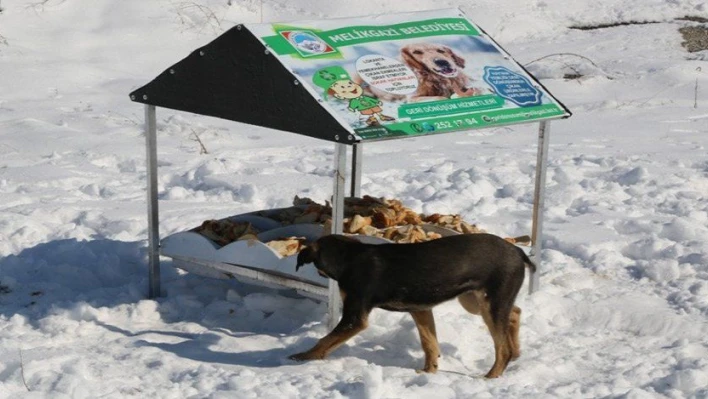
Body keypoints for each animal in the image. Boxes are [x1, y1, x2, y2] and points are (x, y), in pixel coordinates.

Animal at [290, 233, 532, 380]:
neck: (348, 257)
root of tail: (519, 252)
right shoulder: (420, 309)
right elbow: (429, 344)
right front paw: (428, 371)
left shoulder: (355, 317)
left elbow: (325, 340)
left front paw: (303, 357)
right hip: (474, 301)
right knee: (515, 313)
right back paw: (517, 352)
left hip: (489, 302)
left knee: (502, 348)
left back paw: (492, 376)